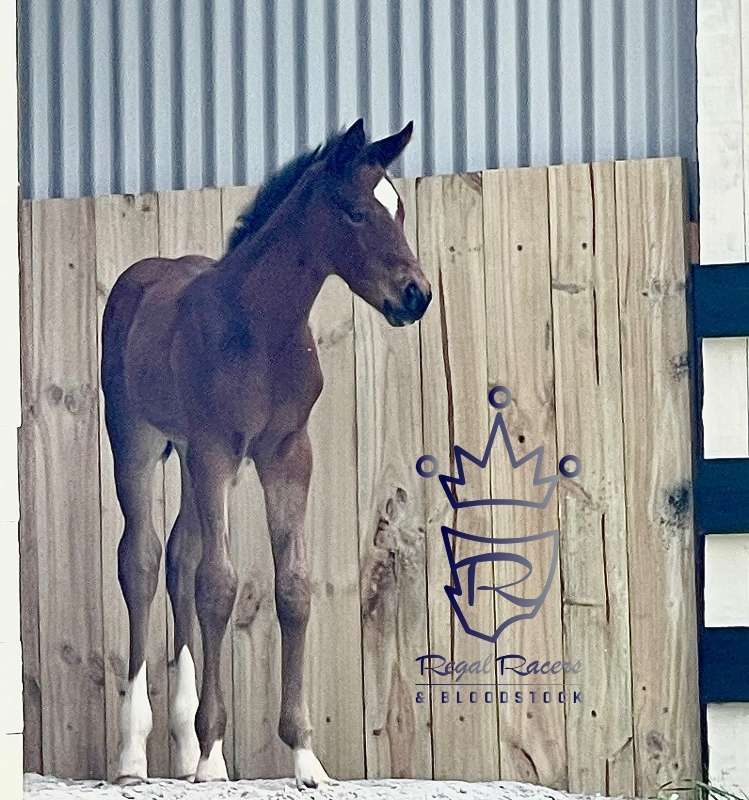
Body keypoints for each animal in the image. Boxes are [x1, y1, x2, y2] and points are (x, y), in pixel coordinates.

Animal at [101, 119, 431, 788]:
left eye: (399, 209)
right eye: (355, 211)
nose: (416, 295)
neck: (259, 328)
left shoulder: (287, 454)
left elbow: (293, 588)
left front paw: (304, 757)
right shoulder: (217, 452)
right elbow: (220, 586)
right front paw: (212, 756)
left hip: (185, 454)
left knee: (178, 555)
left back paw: (179, 749)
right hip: (138, 441)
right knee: (141, 560)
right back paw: (134, 754)